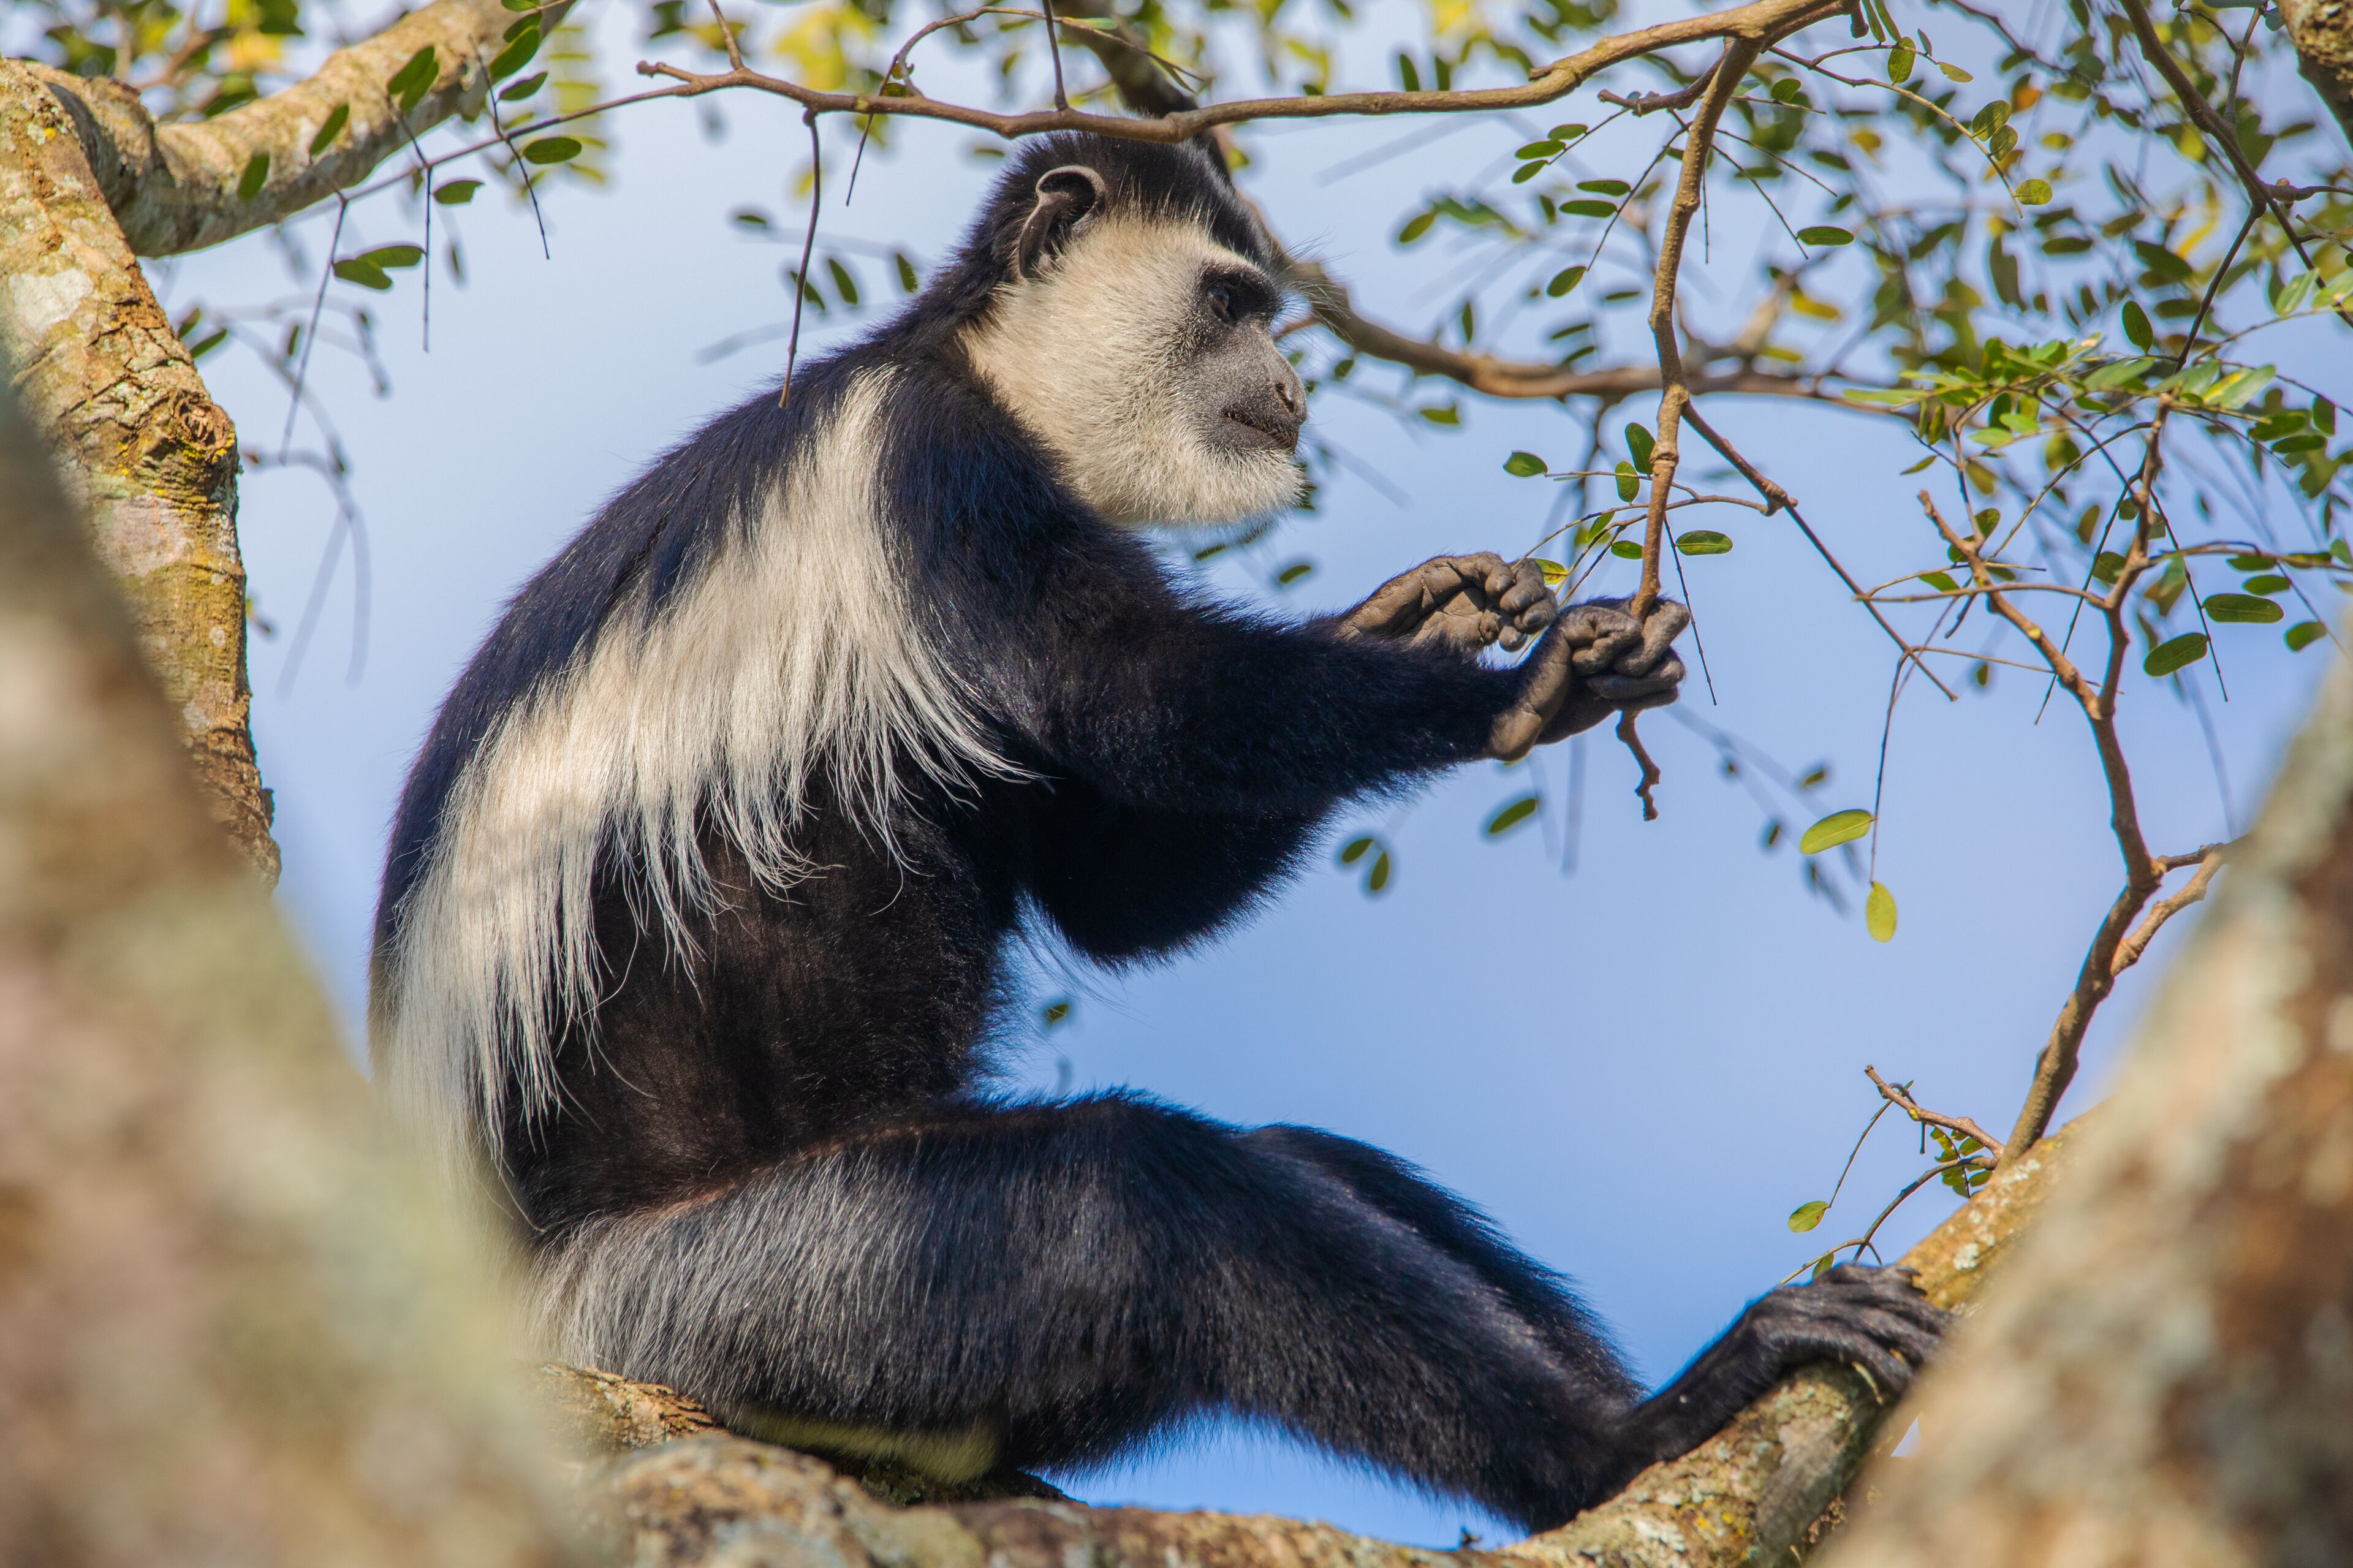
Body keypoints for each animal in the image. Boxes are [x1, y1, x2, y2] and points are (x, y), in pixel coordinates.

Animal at [371, 130, 1943, 1531]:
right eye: (1232, 305)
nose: (1289, 386)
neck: (976, 365)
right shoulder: (938, 470)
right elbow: (1128, 696)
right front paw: (1511, 688)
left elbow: (1112, 895)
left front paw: (1418, 615)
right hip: (739, 1298)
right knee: (1133, 1198)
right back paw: (1636, 1438)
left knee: (1311, 1163)